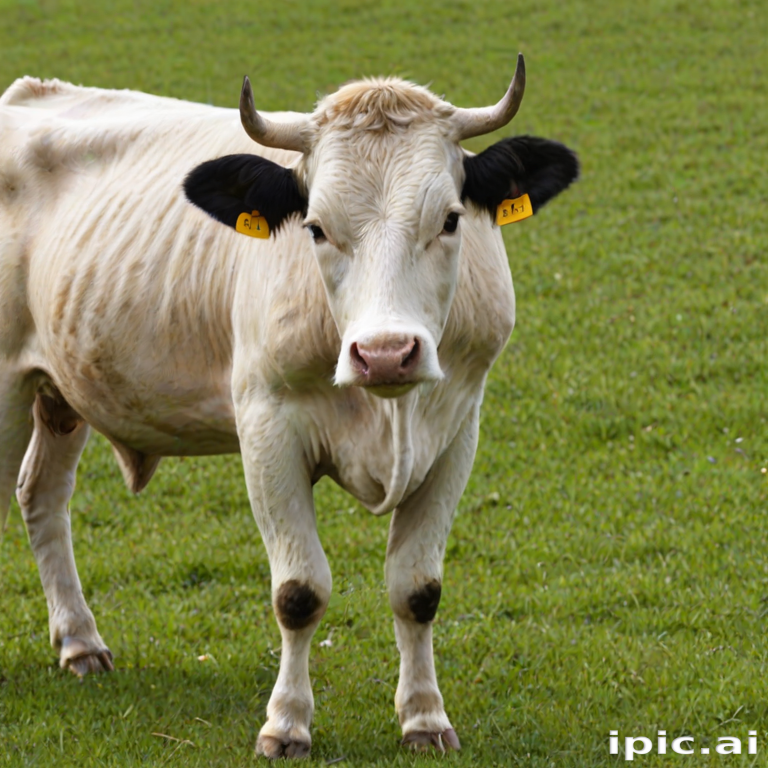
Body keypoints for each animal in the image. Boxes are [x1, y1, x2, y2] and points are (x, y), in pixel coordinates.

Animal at [0, 55, 578, 757]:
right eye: (315, 228)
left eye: (449, 219)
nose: (386, 354)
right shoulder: (267, 427)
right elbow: (299, 592)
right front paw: (287, 724)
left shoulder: (457, 429)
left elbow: (417, 588)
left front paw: (424, 718)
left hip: (59, 391)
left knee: (42, 495)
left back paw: (80, 643)